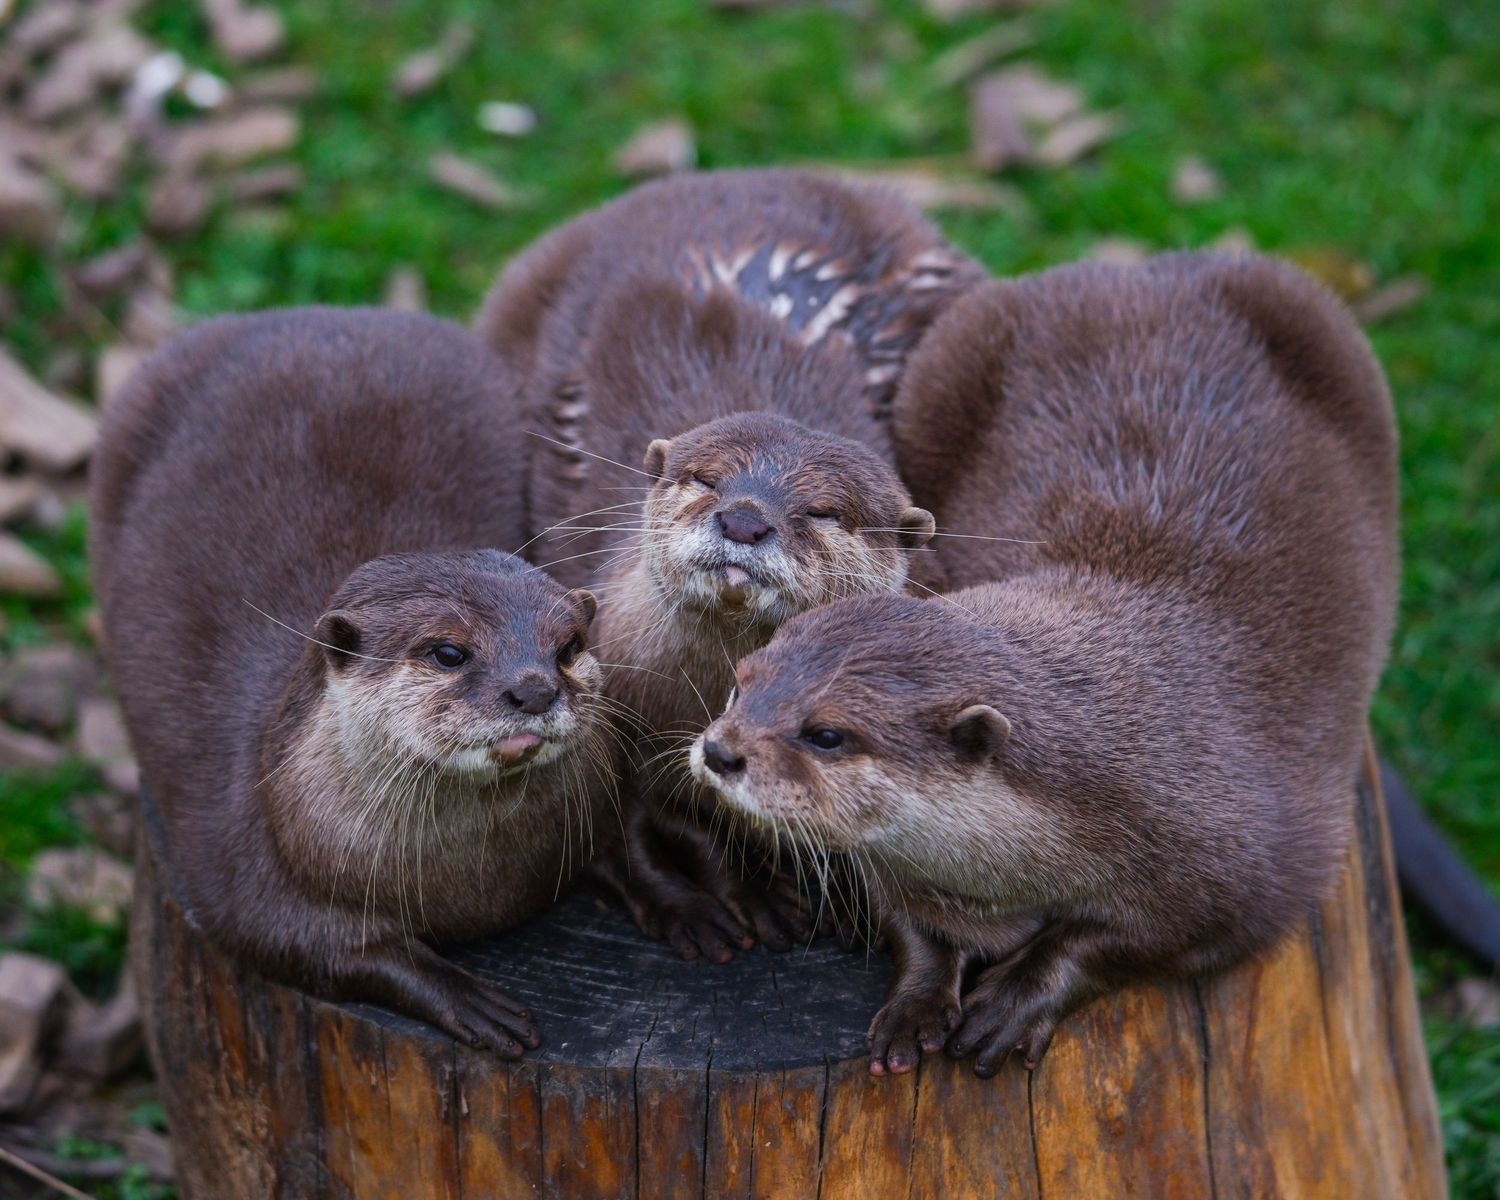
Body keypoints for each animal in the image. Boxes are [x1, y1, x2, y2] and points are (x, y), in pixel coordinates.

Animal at [91, 309, 611, 1055]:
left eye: (567, 646)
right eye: (448, 652)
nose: (534, 689)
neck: (469, 889)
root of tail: (298, 314)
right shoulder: (240, 857)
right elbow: (308, 944)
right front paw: (464, 995)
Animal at [476, 170, 982, 958]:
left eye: (826, 512)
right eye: (705, 478)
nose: (744, 519)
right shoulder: (629, 720)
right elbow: (656, 827)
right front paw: (728, 900)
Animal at [691, 254, 1398, 1075]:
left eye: (827, 734)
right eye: (740, 685)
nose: (721, 751)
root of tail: (1147, 269)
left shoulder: (1256, 872)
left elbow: (1128, 944)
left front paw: (1017, 999)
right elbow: (908, 924)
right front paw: (918, 1002)